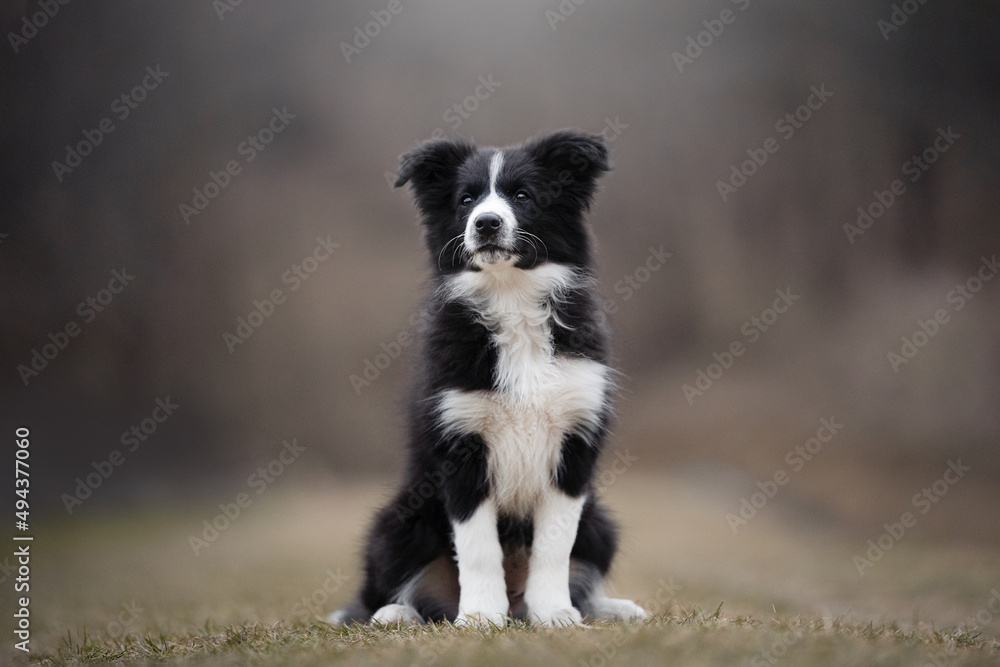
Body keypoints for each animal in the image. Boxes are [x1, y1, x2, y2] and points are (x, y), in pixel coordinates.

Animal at [332, 129, 648, 628]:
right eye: (466, 200)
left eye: (523, 195)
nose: (485, 224)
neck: (511, 298)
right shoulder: (462, 445)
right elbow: (478, 547)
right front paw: (480, 617)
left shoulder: (574, 446)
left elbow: (555, 545)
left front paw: (554, 612)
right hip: (397, 521)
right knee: (396, 595)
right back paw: (395, 612)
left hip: (601, 524)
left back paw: (609, 608)